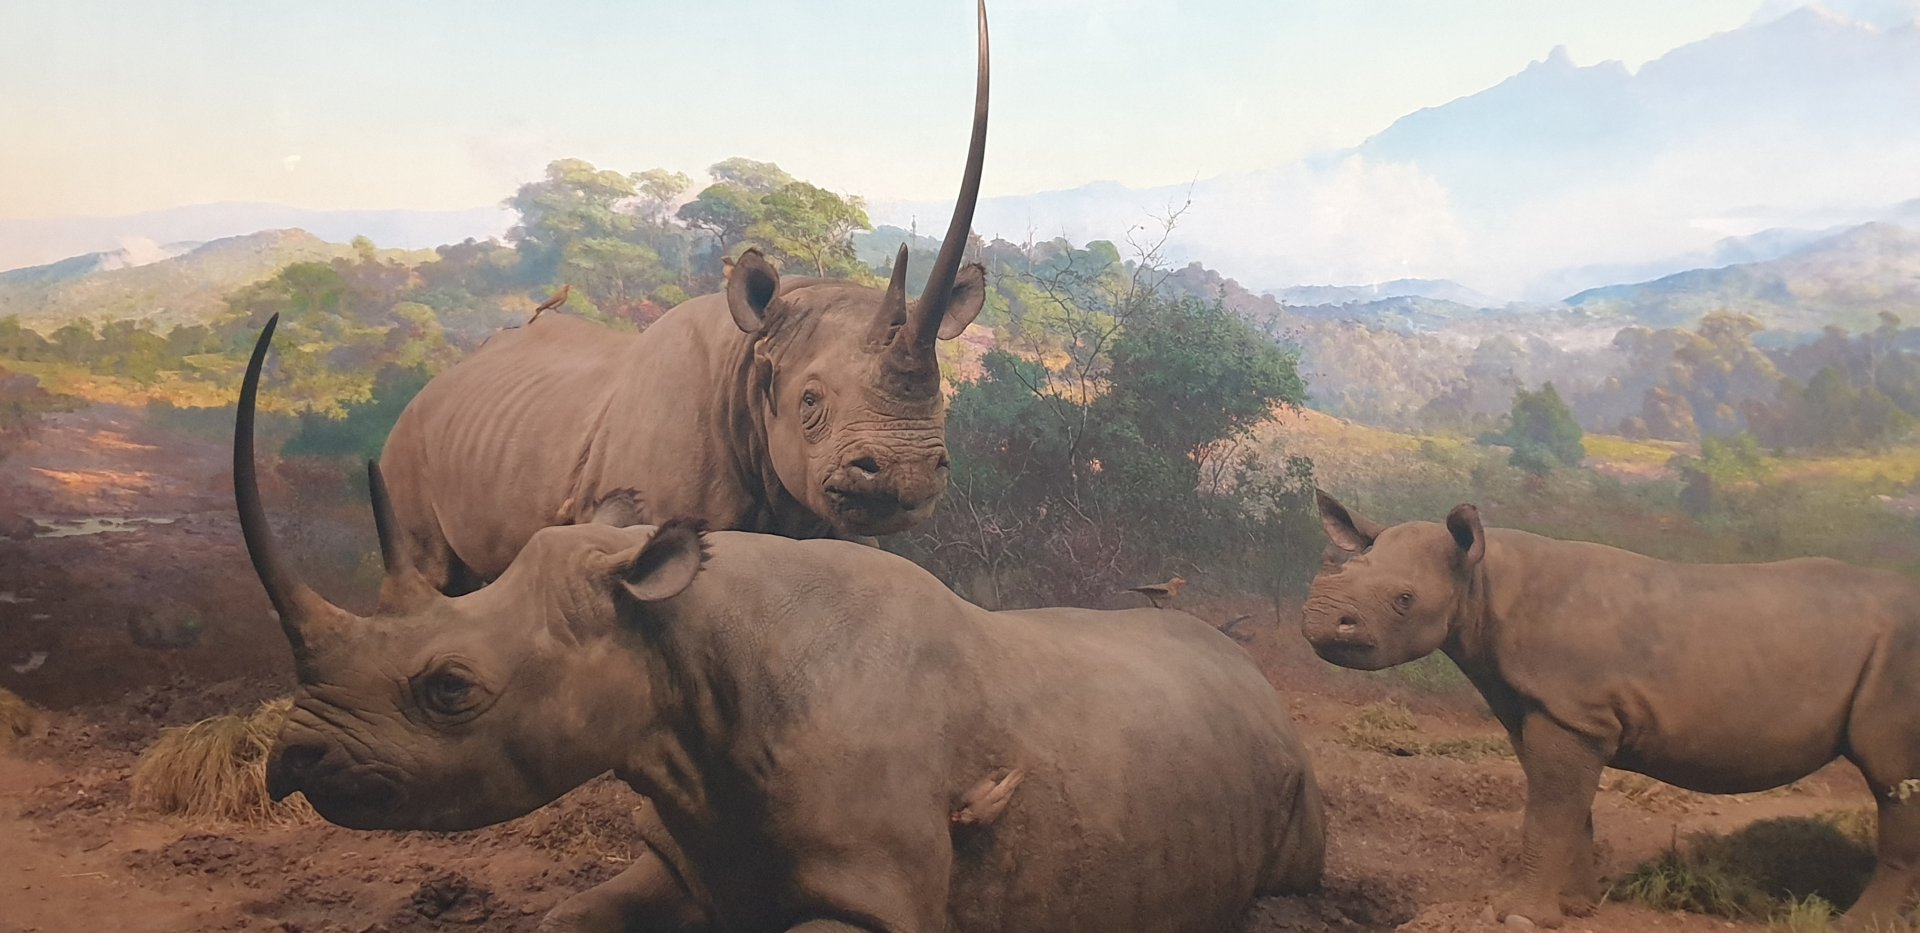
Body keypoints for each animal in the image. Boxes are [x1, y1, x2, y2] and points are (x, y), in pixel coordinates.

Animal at [235, 317, 1327, 933]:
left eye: (450, 689)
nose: (291, 764)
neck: (681, 638)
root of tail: (1248, 666)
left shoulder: (879, 896)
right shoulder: (685, 844)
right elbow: (568, 916)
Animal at [376, 2, 995, 595]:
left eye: (943, 396)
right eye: (810, 400)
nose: (908, 473)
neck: (752, 357)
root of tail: (437, 382)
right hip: (406, 444)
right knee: (433, 572)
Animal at [1300, 491, 1920, 931]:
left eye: (1404, 600)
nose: (1317, 622)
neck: (1480, 580)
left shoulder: (1574, 713)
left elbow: (1550, 810)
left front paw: (1515, 915)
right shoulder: (1549, 708)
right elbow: (1565, 807)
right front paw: (1574, 908)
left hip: (1899, 655)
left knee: (1892, 781)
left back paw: (1854, 927)